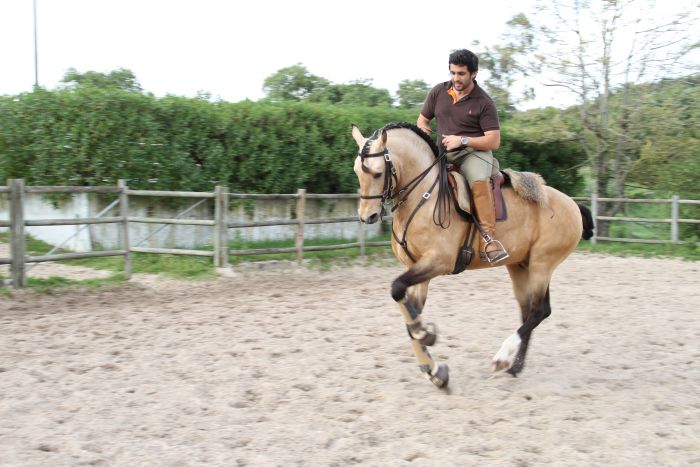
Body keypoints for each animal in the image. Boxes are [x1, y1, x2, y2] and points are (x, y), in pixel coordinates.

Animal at [352, 122, 592, 390]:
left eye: (376, 173)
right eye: (357, 171)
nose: (368, 216)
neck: (423, 196)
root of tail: (571, 204)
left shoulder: (438, 262)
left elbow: (397, 290)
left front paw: (426, 335)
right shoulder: (418, 270)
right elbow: (408, 312)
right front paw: (434, 369)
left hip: (543, 263)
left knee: (540, 310)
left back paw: (502, 357)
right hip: (521, 266)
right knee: (529, 311)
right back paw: (514, 367)